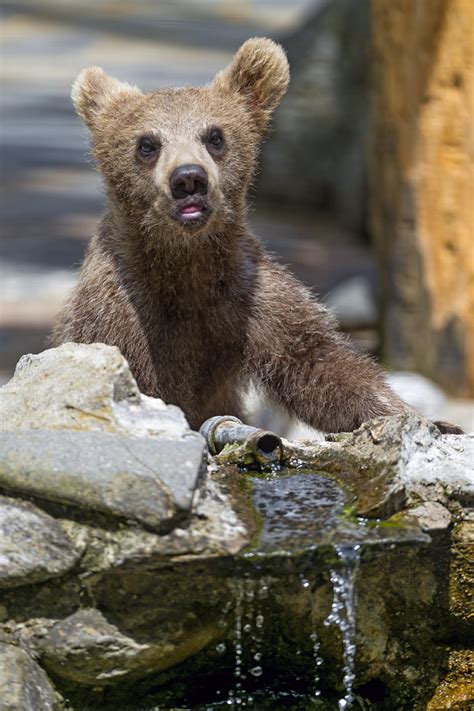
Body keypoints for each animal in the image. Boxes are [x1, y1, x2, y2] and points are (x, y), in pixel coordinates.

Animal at [52, 41, 460, 436]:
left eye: (215, 136)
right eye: (147, 144)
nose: (188, 179)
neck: (185, 267)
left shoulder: (250, 299)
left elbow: (319, 363)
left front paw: (430, 419)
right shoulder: (120, 315)